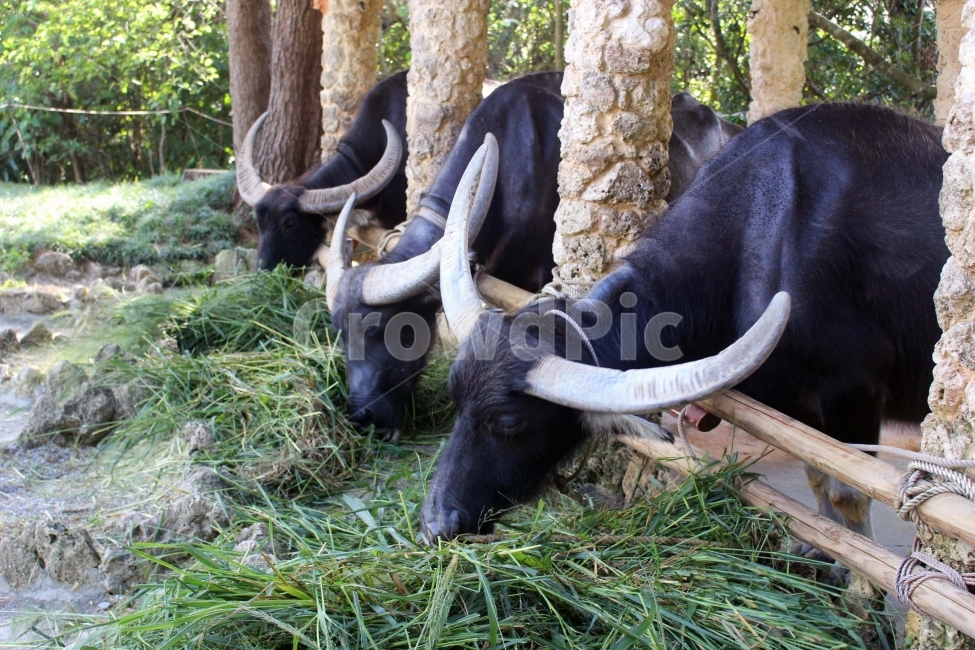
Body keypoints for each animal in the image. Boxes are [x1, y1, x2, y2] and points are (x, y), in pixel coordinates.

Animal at [421, 103, 949, 546]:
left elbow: (846, 494)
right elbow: (820, 483)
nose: (436, 523)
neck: (764, 229)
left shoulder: (855, 391)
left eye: (510, 424)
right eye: (454, 398)